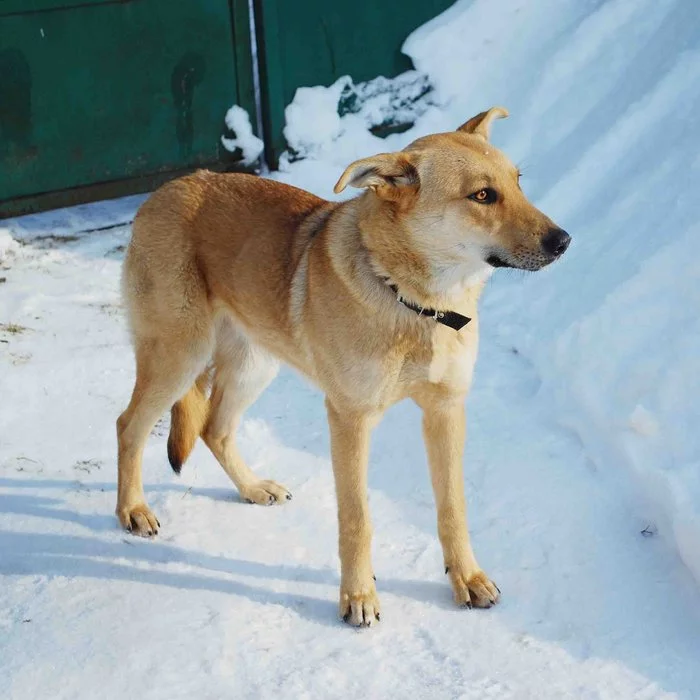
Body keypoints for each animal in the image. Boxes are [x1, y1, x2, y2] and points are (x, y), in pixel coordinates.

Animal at [117, 108, 572, 624]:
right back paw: (132, 509)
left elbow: (453, 509)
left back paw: (251, 488)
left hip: (254, 363)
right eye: (482, 195)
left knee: (215, 428)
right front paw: (357, 596)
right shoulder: (350, 419)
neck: (414, 300)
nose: (564, 241)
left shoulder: (446, 411)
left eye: (518, 182)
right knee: (129, 425)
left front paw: (467, 578)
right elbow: (357, 518)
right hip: (179, 354)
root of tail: (166, 189)